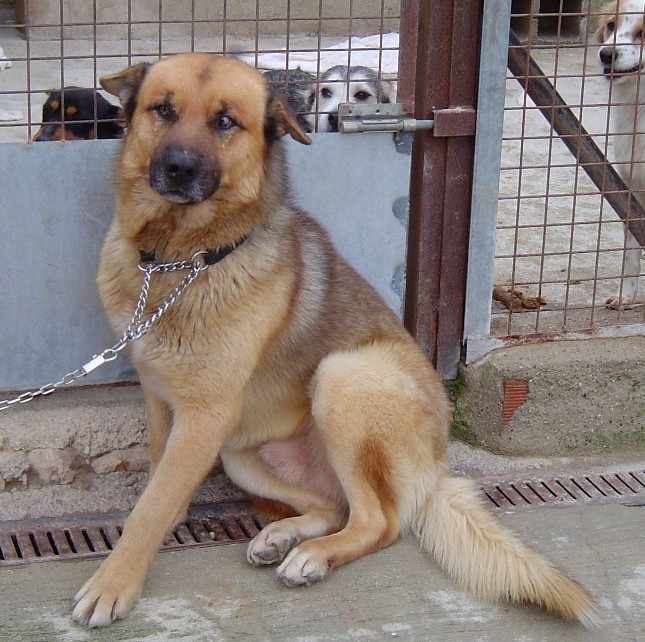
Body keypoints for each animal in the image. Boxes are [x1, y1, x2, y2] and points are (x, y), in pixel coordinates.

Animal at [70, 53, 592, 624]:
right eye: (162, 110)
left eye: (226, 121)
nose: (178, 168)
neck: (178, 260)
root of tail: (435, 470)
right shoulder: (164, 402)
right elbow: (157, 483)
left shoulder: (204, 415)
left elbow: (154, 504)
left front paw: (114, 583)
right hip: (238, 453)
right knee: (333, 506)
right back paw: (283, 536)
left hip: (341, 376)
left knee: (378, 522)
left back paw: (313, 556)